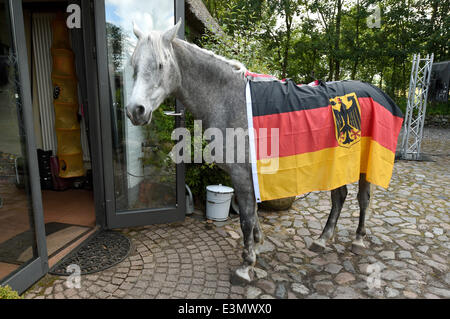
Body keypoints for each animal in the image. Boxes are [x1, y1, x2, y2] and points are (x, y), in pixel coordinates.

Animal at [125, 21, 370, 284]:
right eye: (134, 65)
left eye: (160, 65)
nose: (135, 110)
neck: (230, 101)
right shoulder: (250, 176)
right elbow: (253, 215)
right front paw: (257, 246)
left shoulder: (242, 175)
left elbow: (246, 219)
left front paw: (245, 265)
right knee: (340, 197)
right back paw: (322, 239)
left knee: (362, 198)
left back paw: (358, 239)